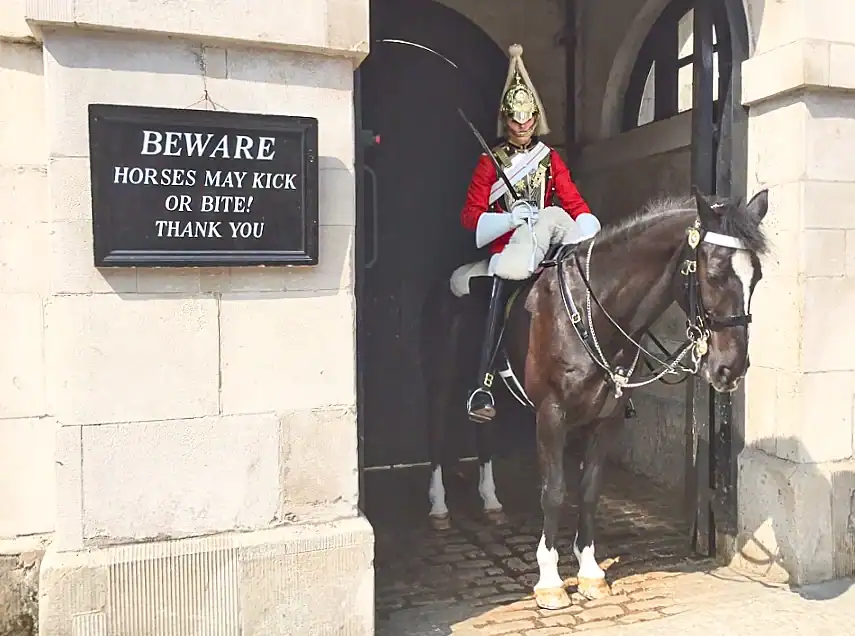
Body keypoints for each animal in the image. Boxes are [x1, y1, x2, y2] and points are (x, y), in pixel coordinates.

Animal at [418, 188, 772, 612]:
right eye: (714, 274)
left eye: (757, 276)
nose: (729, 369)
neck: (596, 311)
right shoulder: (551, 415)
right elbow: (554, 491)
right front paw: (550, 580)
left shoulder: (608, 418)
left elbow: (589, 490)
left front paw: (589, 572)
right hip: (442, 377)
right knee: (437, 430)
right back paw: (438, 506)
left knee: (483, 430)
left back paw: (490, 501)